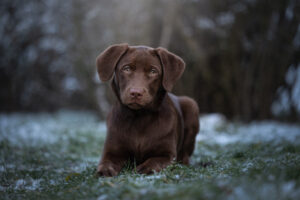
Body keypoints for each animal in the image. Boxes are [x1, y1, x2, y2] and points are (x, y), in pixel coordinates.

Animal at [96, 43, 199, 177]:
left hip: (191, 105)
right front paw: (105, 170)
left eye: (153, 71)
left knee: (185, 156)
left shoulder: (167, 155)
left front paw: (144, 168)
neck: (139, 117)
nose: (136, 93)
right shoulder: (112, 151)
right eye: (127, 68)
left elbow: (155, 161)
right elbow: (106, 162)